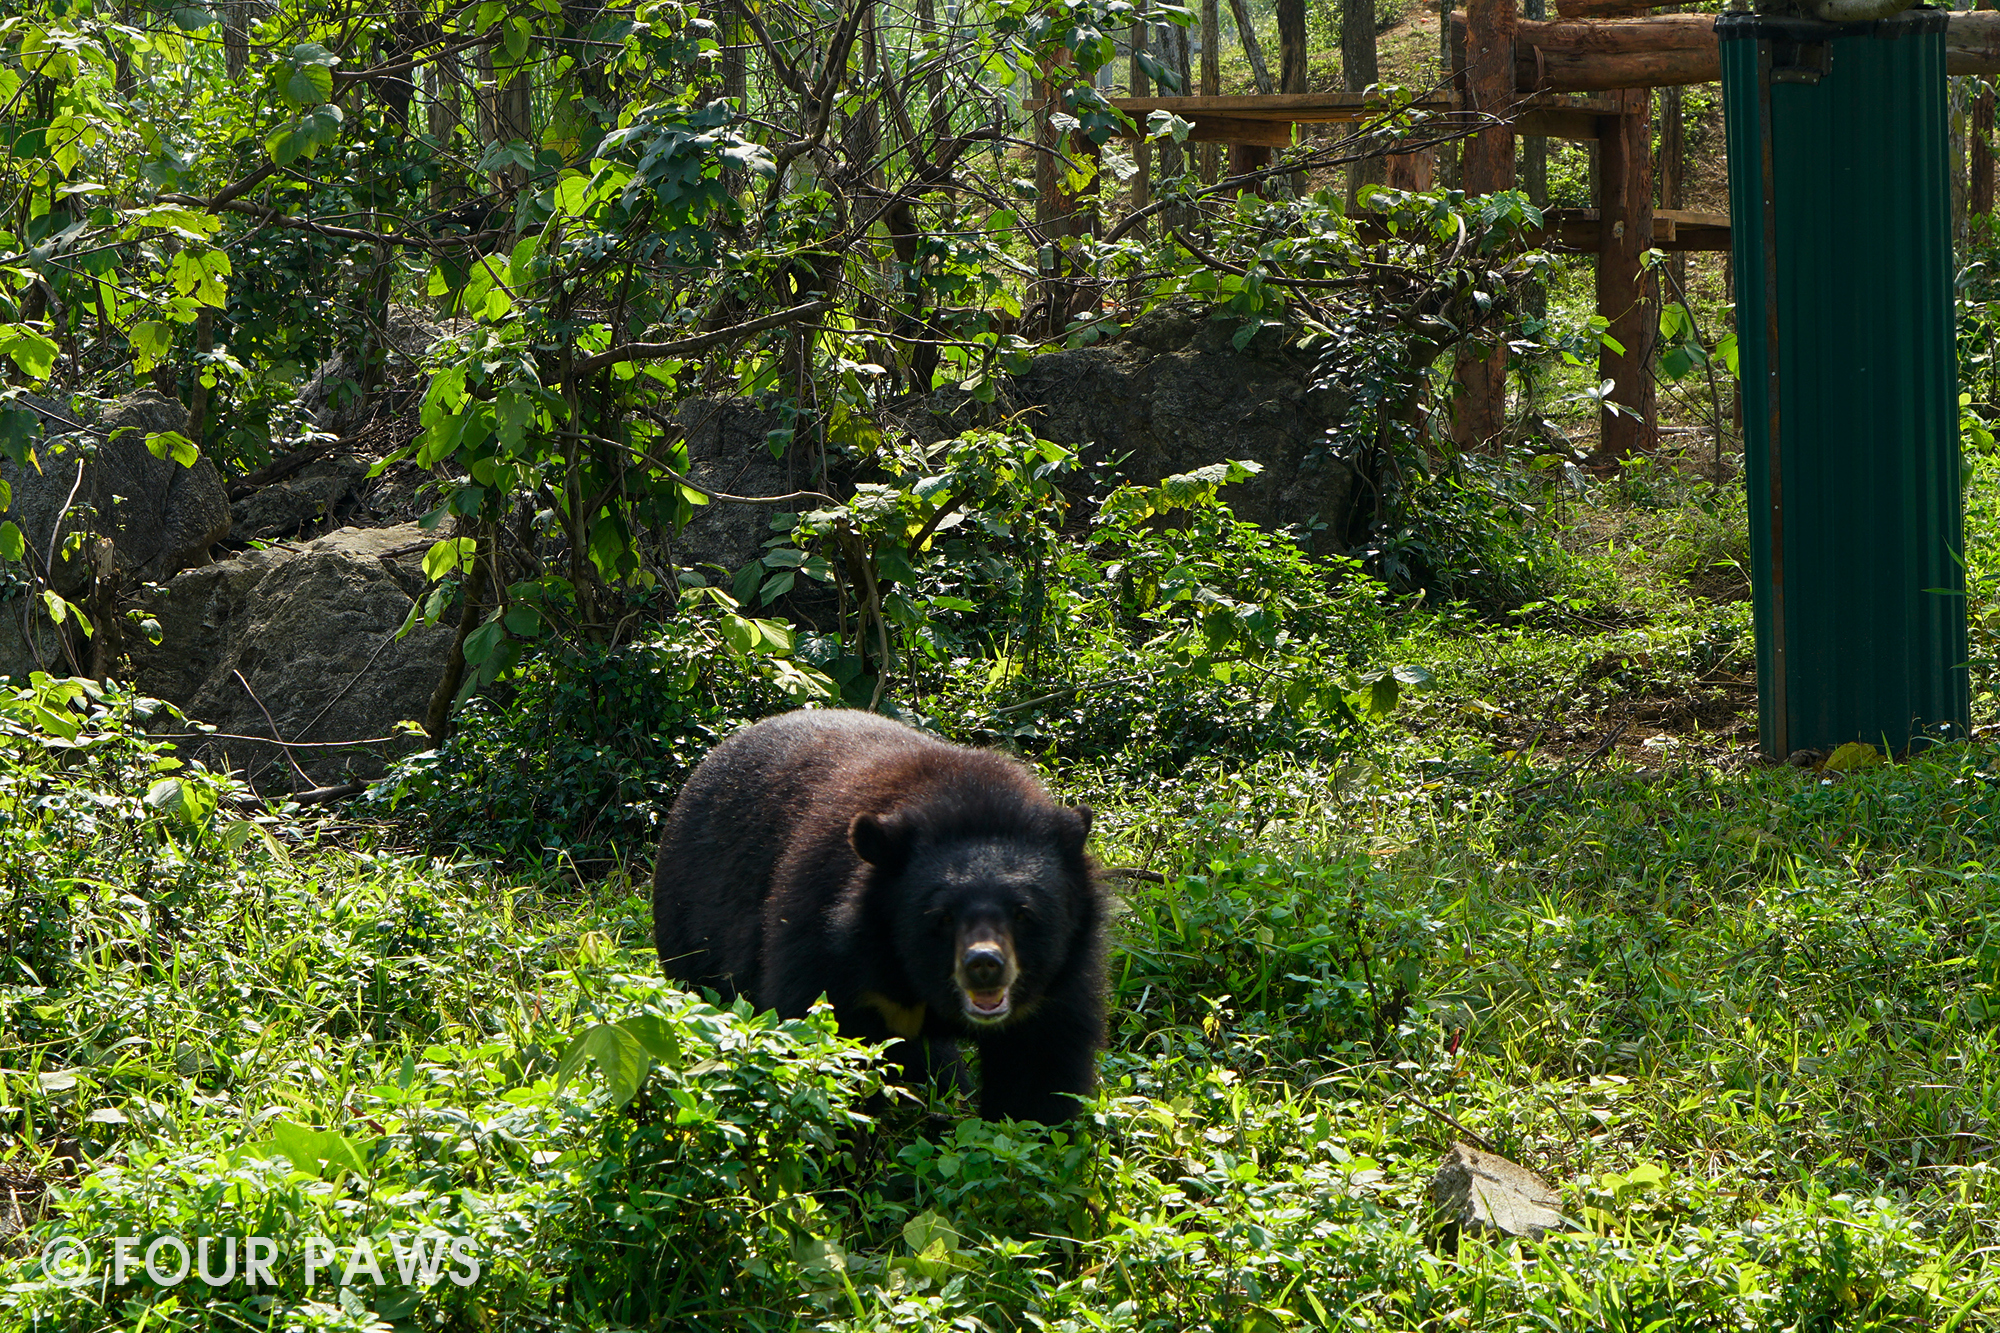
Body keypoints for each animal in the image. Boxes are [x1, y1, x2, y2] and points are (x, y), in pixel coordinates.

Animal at [648, 704, 1104, 1120]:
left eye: (1023, 914)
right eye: (942, 917)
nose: (985, 966)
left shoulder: (1055, 985)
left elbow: (1039, 1071)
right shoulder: (829, 946)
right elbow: (821, 1038)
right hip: (691, 928)